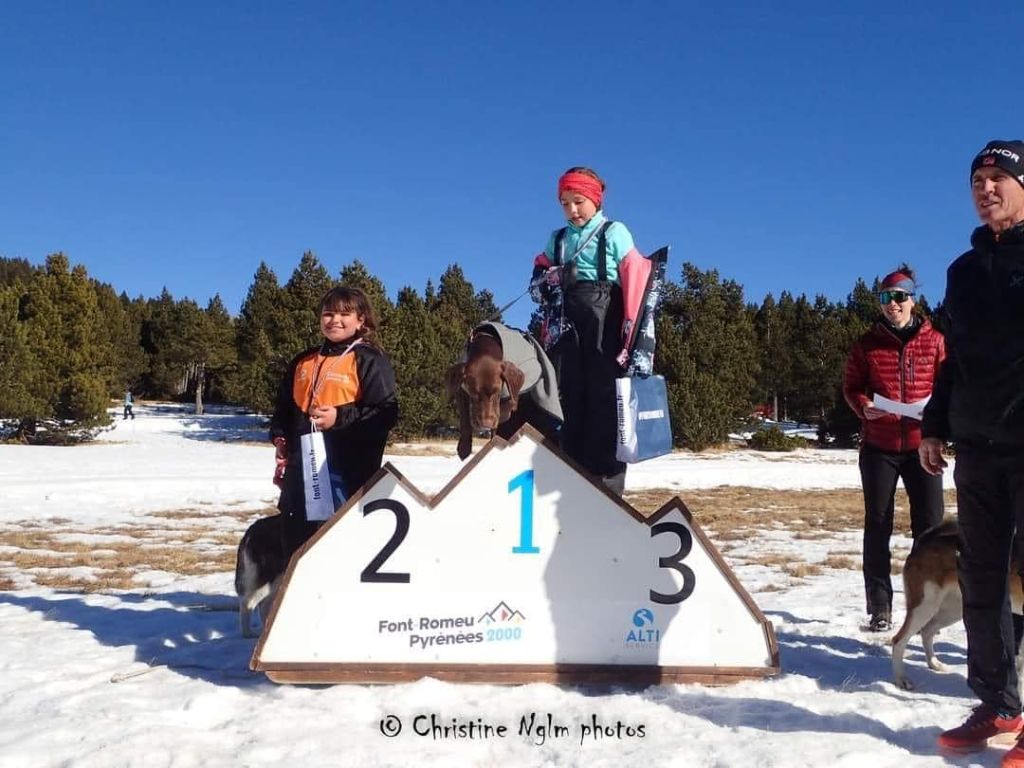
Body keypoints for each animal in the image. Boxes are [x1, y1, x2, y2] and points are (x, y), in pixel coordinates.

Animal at [892, 518, 1019, 692]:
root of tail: (925, 542)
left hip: (953, 611)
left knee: (927, 632)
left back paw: (934, 664)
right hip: (925, 607)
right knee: (899, 640)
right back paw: (901, 679)